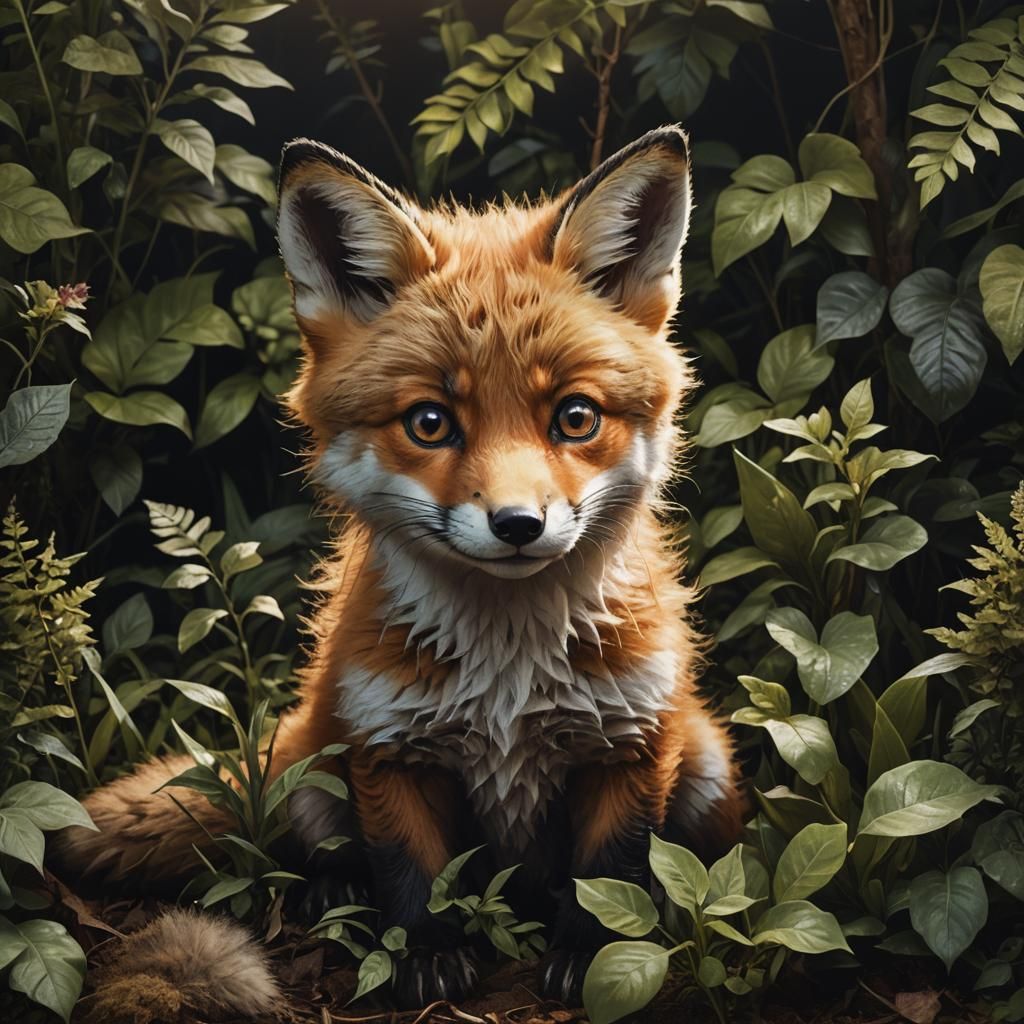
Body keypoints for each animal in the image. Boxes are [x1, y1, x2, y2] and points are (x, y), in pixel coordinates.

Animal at [59, 125, 744, 1014]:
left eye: (575, 417)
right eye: (430, 423)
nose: (518, 525)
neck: (508, 672)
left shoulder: (632, 741)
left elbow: (612, 873)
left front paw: (594, 956)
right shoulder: (387, 745)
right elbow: (411, 869)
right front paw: (422, 956)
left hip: (707, 762)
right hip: (313, 760)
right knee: (325, 851)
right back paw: (333, 897)